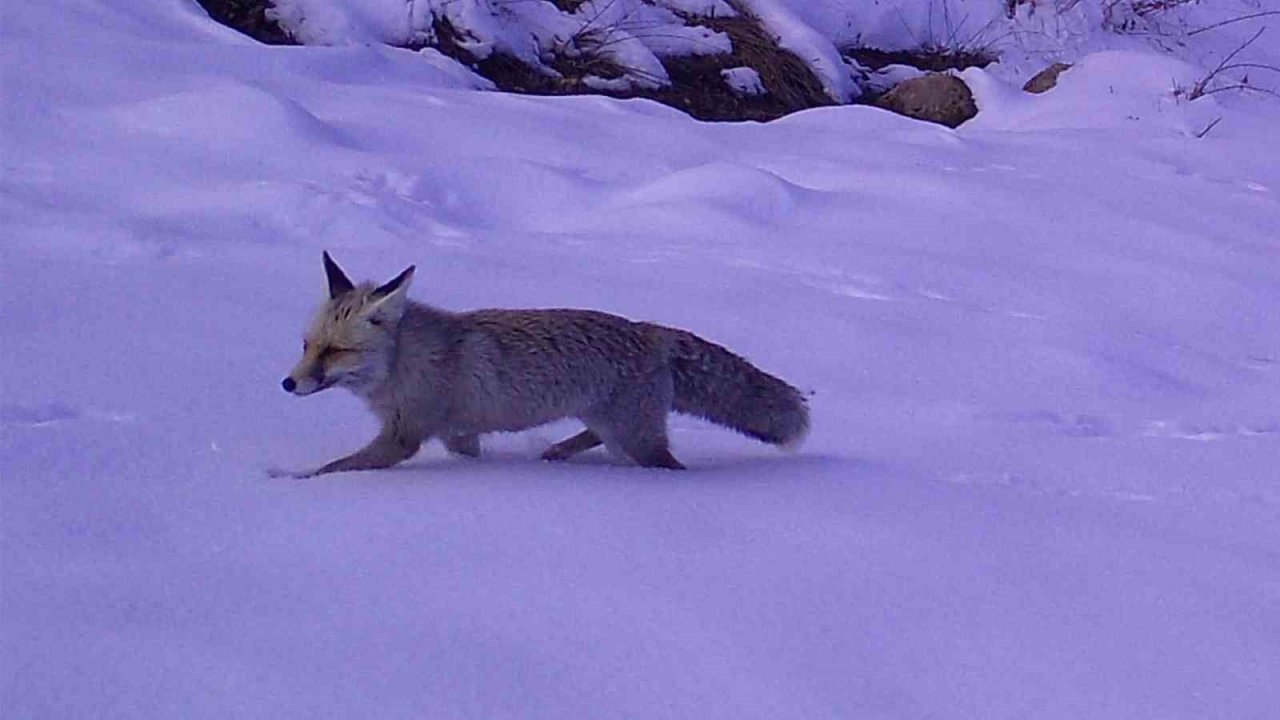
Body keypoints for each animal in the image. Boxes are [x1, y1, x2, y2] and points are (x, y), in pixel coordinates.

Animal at [273, 252, 803, 476]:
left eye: (334, 351)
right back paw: (557, 452)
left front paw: (287, 480)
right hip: (612, 423)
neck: (405, 361)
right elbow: (468, 455)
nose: (287, 384)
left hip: (638, 439)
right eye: (307, 345)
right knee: (595, 437)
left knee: (669, 465)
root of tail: (652, 330)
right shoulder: (456, 433)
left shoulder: (403, 437)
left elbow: (333, 469)